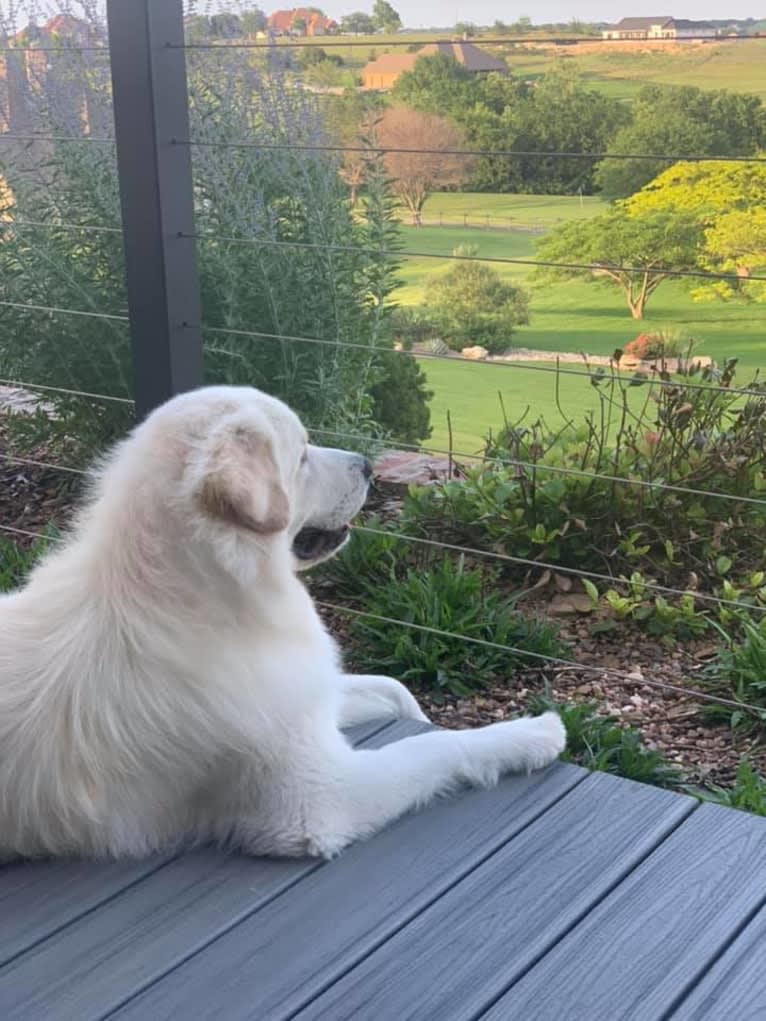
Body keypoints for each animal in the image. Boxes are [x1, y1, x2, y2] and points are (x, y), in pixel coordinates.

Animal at [0, 383, 563, 861]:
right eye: (303, 455)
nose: (368, 465)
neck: (200, 597)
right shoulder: (320, 798)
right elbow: (437, 745)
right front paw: (531, 734)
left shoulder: (303, 702)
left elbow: (395, 690)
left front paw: (427, 713)